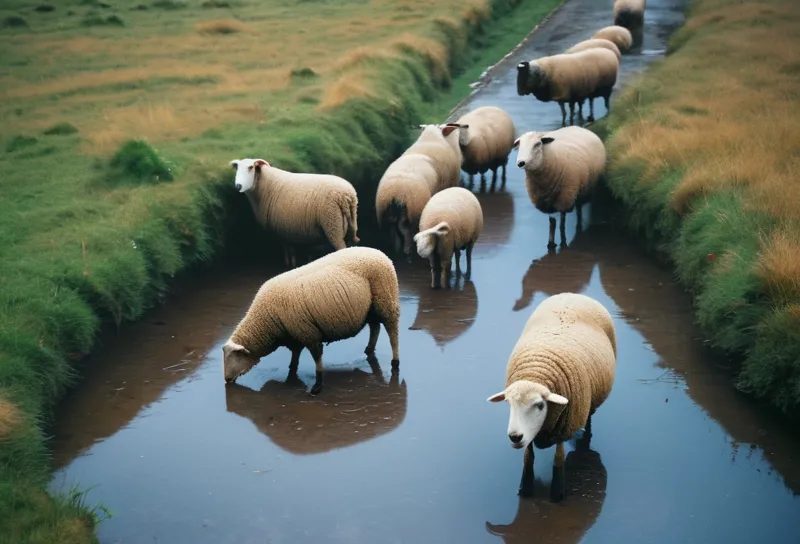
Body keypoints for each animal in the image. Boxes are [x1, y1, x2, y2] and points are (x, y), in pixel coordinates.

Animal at [222, 246, 400, 396]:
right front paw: (292, 371)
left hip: (386, 299)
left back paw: (395, 362)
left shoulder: (308, 333)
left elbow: (317, 359)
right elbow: (295, 356)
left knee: (392, 333)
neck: (266, 322)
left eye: (236, 357)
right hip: (371, 308)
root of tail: (379, 252)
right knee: (375, 327)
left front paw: (317, 387)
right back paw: (369, 350)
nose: (226, 380)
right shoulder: (295, 333)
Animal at [228, 156, 360, 268]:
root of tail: (346, 195)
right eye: (237, 168)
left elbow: (289, 252)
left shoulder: (282, 230)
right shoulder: (286, 232)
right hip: (349, 225)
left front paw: (290, 266)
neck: (264, 186)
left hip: (332, 224)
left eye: (250, 167)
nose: (238, 186)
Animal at [376, 124, 462, 256]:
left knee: (394, 234)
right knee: (407, 233)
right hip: (413, 212)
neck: (430, 139)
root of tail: (396, 193)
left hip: (386, 216)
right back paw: (408, 251)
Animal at [484, 294, 616, 502]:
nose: (514, 437)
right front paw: (525, 488)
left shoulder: (564, 426)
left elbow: (558, 459)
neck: (535, 373)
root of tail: (574, 294)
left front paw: (557, 492)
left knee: (589, 418)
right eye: (509, 404)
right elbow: (528, 457)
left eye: (540, 405)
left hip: (589, 405)